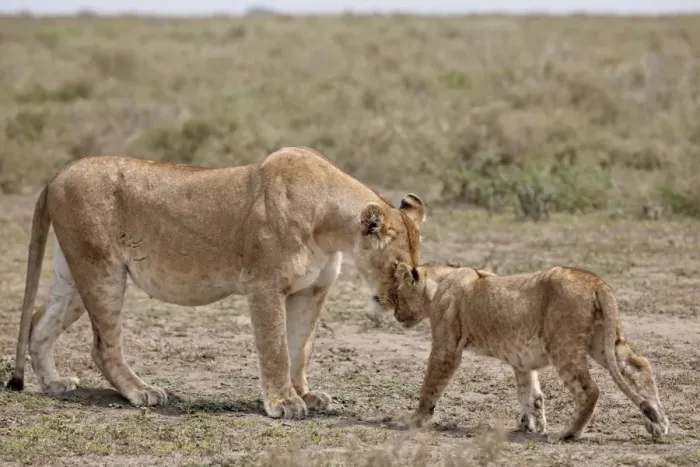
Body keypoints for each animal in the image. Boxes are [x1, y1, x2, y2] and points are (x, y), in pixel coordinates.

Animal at [5, 146, 426, 420]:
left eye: (416, 268)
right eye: (402, 269)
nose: (403, 310)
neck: (330, 226)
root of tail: (57, 175)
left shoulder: (312, 292)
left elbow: (300, 348)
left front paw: (305, 393)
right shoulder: (264, 285)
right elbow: (276, 348)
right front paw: (283, 403)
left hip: (74, 273)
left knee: (40, 322)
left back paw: (55, 384)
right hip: (102, 269)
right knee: (102, 347)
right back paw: (141, 392)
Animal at [390, 261, 670, 441]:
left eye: (396, 295)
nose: (395, 315)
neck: (438, 283)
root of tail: (595, 281)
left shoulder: (446, 347)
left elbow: (430, 385)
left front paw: (415, 420)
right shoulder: (521, 359)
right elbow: (530, 392)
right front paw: (530, 424)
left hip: (563, 344)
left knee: (590, 390)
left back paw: (569, 434)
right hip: (603, 341)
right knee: (639, 365)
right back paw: (658, 423)